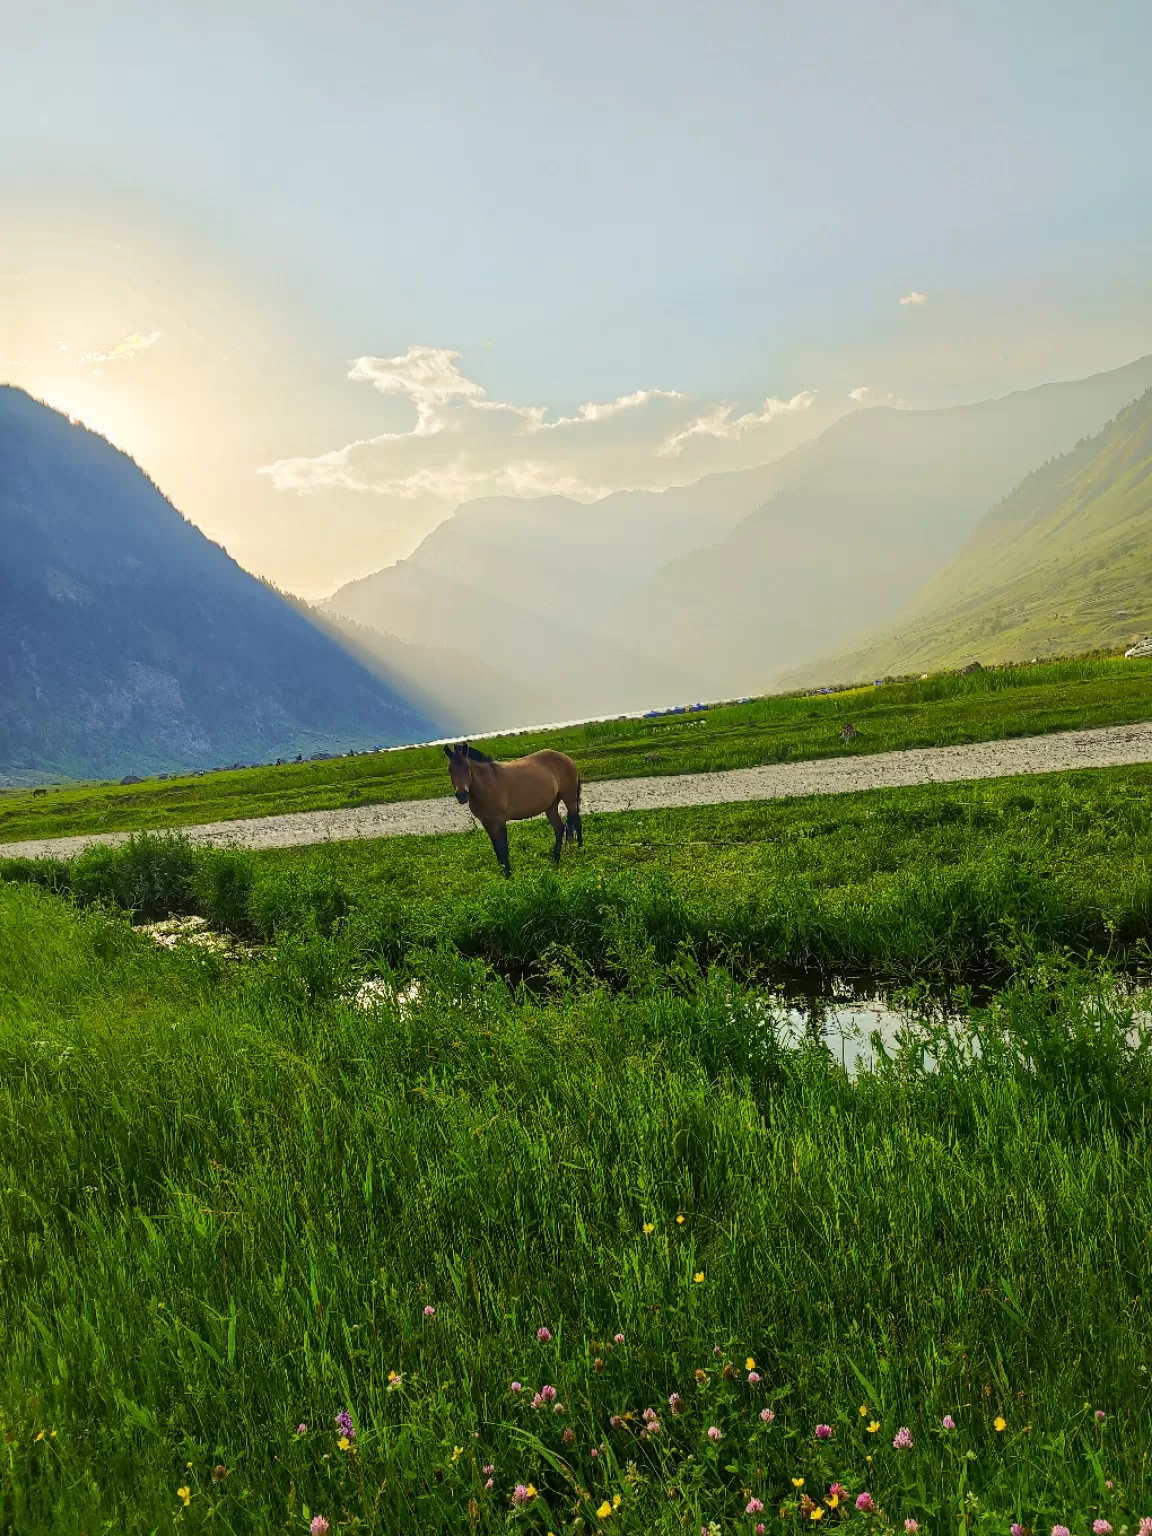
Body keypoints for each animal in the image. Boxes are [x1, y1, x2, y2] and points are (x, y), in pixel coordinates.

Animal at [445, 743, 586, 878]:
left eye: (467, 767)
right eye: (450, 769)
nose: (462, 795)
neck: (487, 783)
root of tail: (568, 759)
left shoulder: (499, 821)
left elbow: (503, 848)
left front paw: (508, 875)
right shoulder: (486, 823)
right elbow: (496, 847)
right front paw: (501, 872)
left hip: (569, 799)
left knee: (576, 821)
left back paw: (580, 849)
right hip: (551, 806)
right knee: (560, 828)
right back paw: (556, 858)